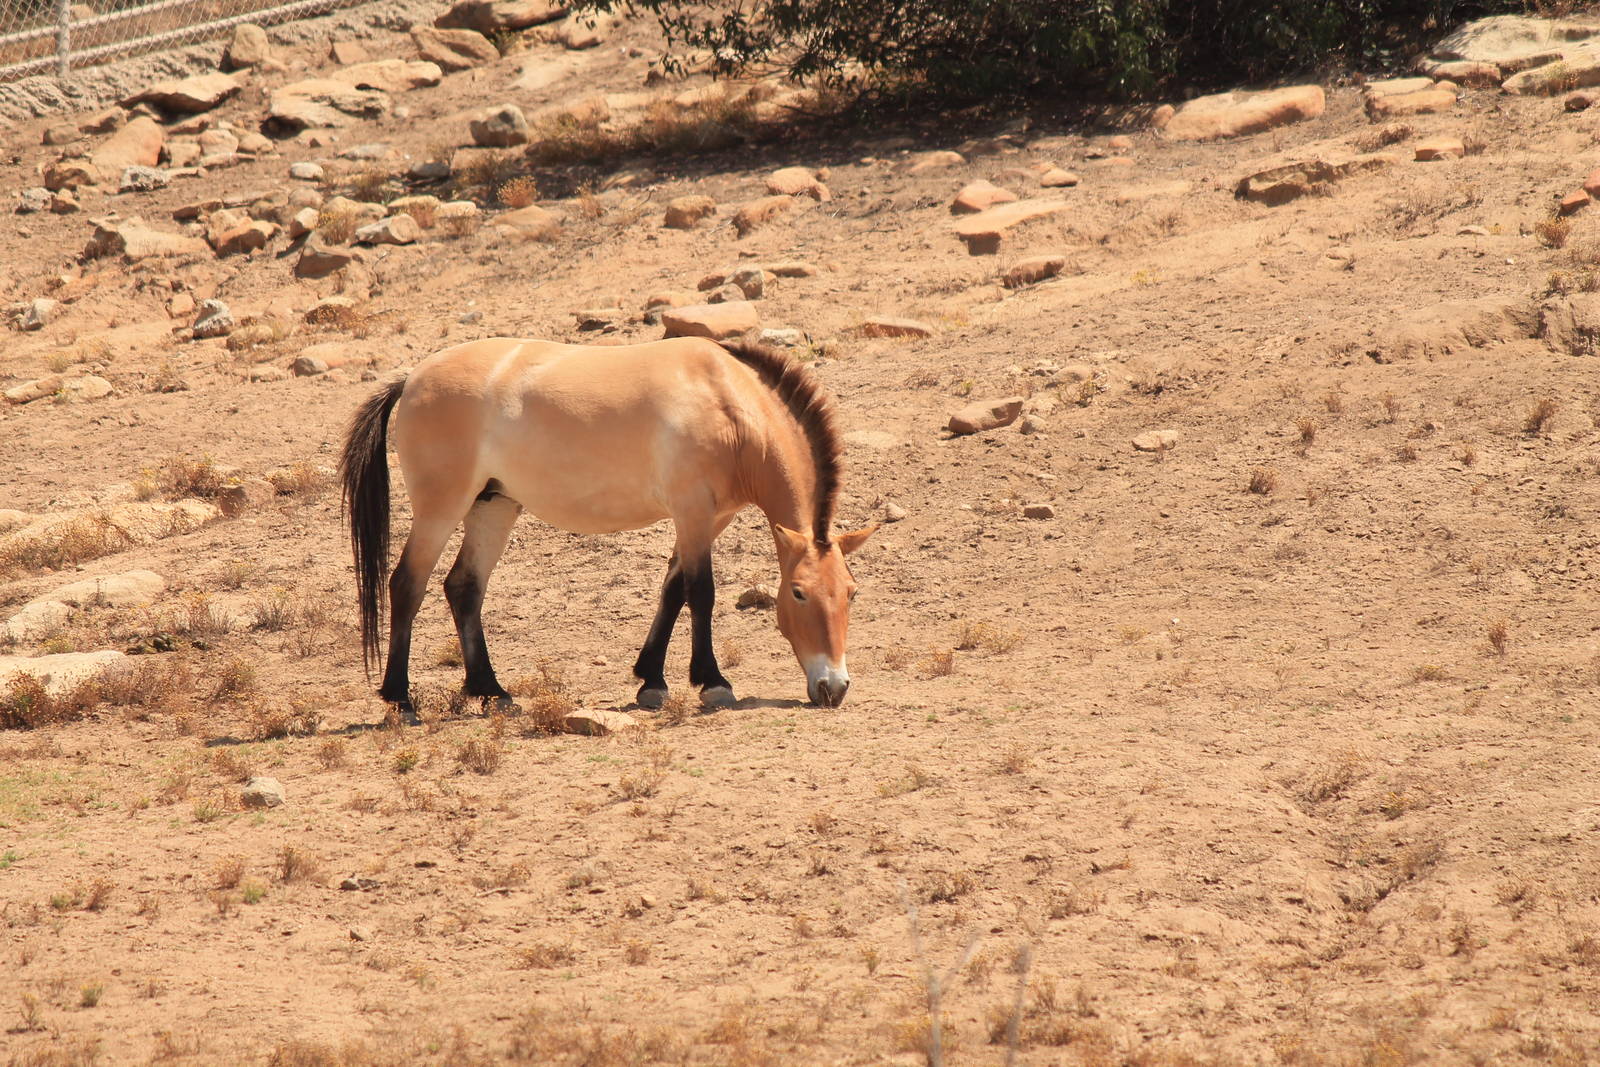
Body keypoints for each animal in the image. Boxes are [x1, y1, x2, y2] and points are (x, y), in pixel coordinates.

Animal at [338, 336, 876, 714]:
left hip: (493, 507)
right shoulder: (693, 511)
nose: (834, 687)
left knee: (463, 587)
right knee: (407, 585)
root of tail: (411, 379)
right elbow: (701, 592)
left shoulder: (711, 518)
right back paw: (400, 699)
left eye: (851, 593)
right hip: (441, 509)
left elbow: (673, 589)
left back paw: (492, 692)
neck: (728, 406)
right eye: (799, 593)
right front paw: (712, 683)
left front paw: (651, 681)